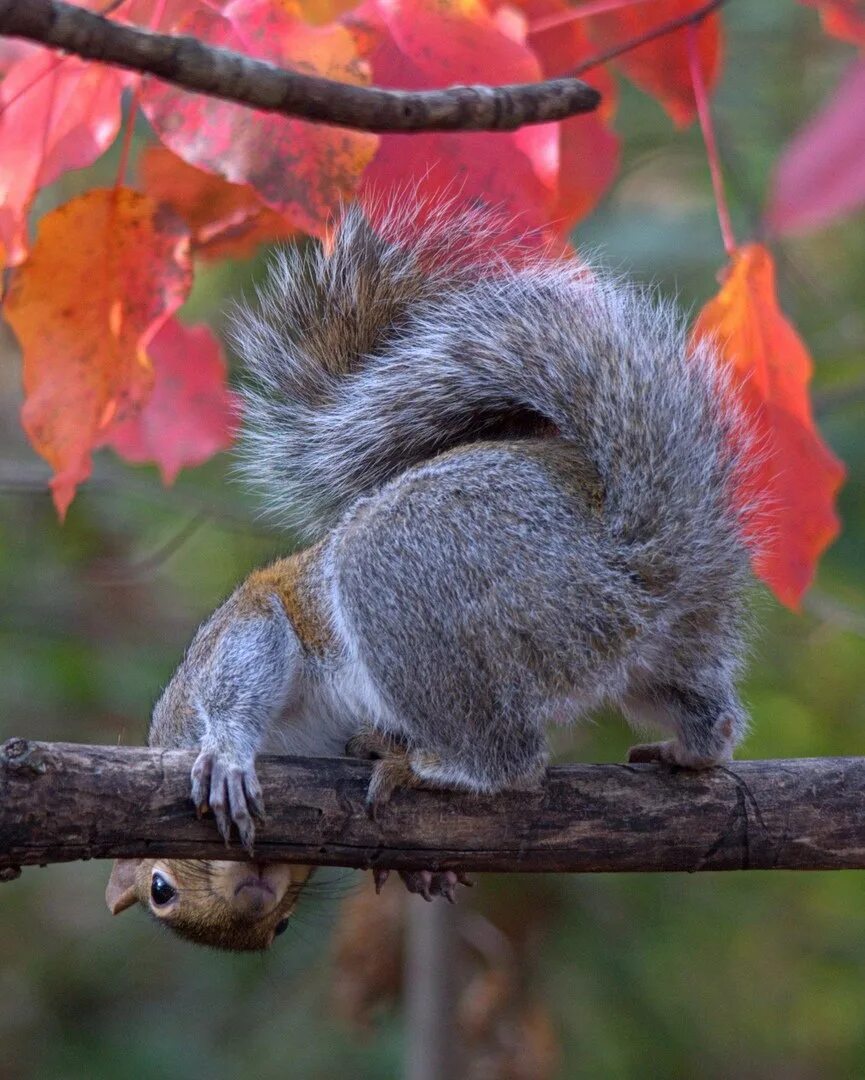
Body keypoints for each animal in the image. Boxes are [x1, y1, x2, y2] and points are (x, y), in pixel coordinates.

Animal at [103, 198, 747, 950]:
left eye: (160, 888)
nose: (257, 893)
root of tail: (629, 550)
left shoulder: (244, 625)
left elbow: (244, 665)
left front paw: (228, 755)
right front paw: (422, 872)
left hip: (405, 584)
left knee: (513, 764)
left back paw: (433, 766)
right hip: (662, 649)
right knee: (705, 709)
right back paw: (691, 749)